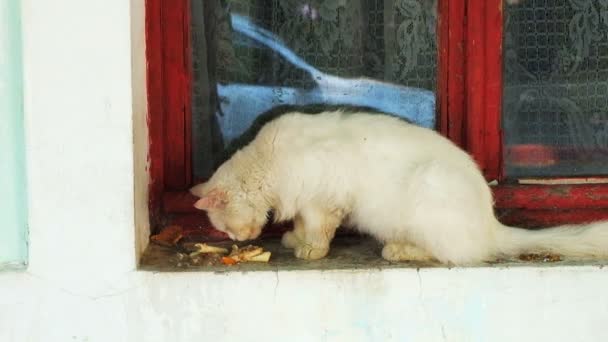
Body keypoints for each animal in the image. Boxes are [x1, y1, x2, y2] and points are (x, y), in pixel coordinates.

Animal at [191, 109, 608, 264]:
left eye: (224, 228)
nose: (239, 240)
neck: (268, 163)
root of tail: (492, 225)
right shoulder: (306, 203)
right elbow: (300, 225)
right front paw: (295, 240)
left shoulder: (324, 201)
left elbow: (319, 232)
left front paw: (310, 250)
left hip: (428, 190)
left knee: (452, 255)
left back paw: (398, 250)